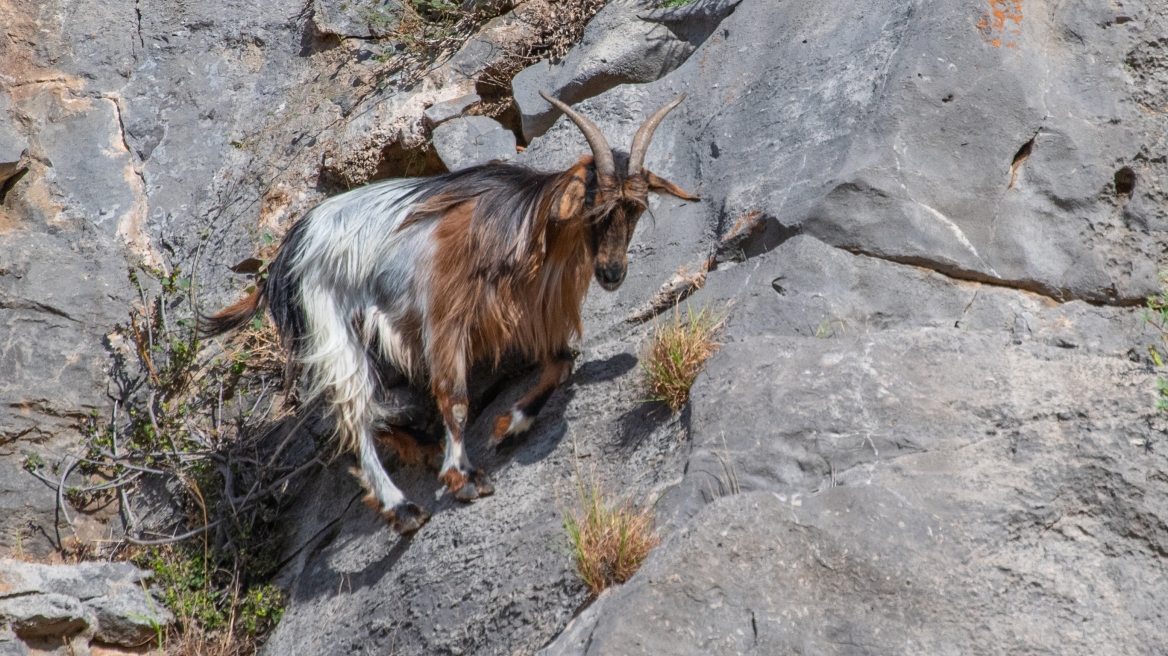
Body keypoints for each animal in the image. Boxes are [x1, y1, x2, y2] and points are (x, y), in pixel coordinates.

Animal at [202, 93, 696, 532]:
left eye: (635, 209)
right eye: (594, 208)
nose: (612, 273)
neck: (517, 223)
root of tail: (283, 254)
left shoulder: (535, 313)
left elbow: (560, 365)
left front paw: (509, 425)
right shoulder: (445, 316)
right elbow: (455, 399)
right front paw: (463, 477)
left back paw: (418, 447)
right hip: (331, 325)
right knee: (354, 414)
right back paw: (401, 508)